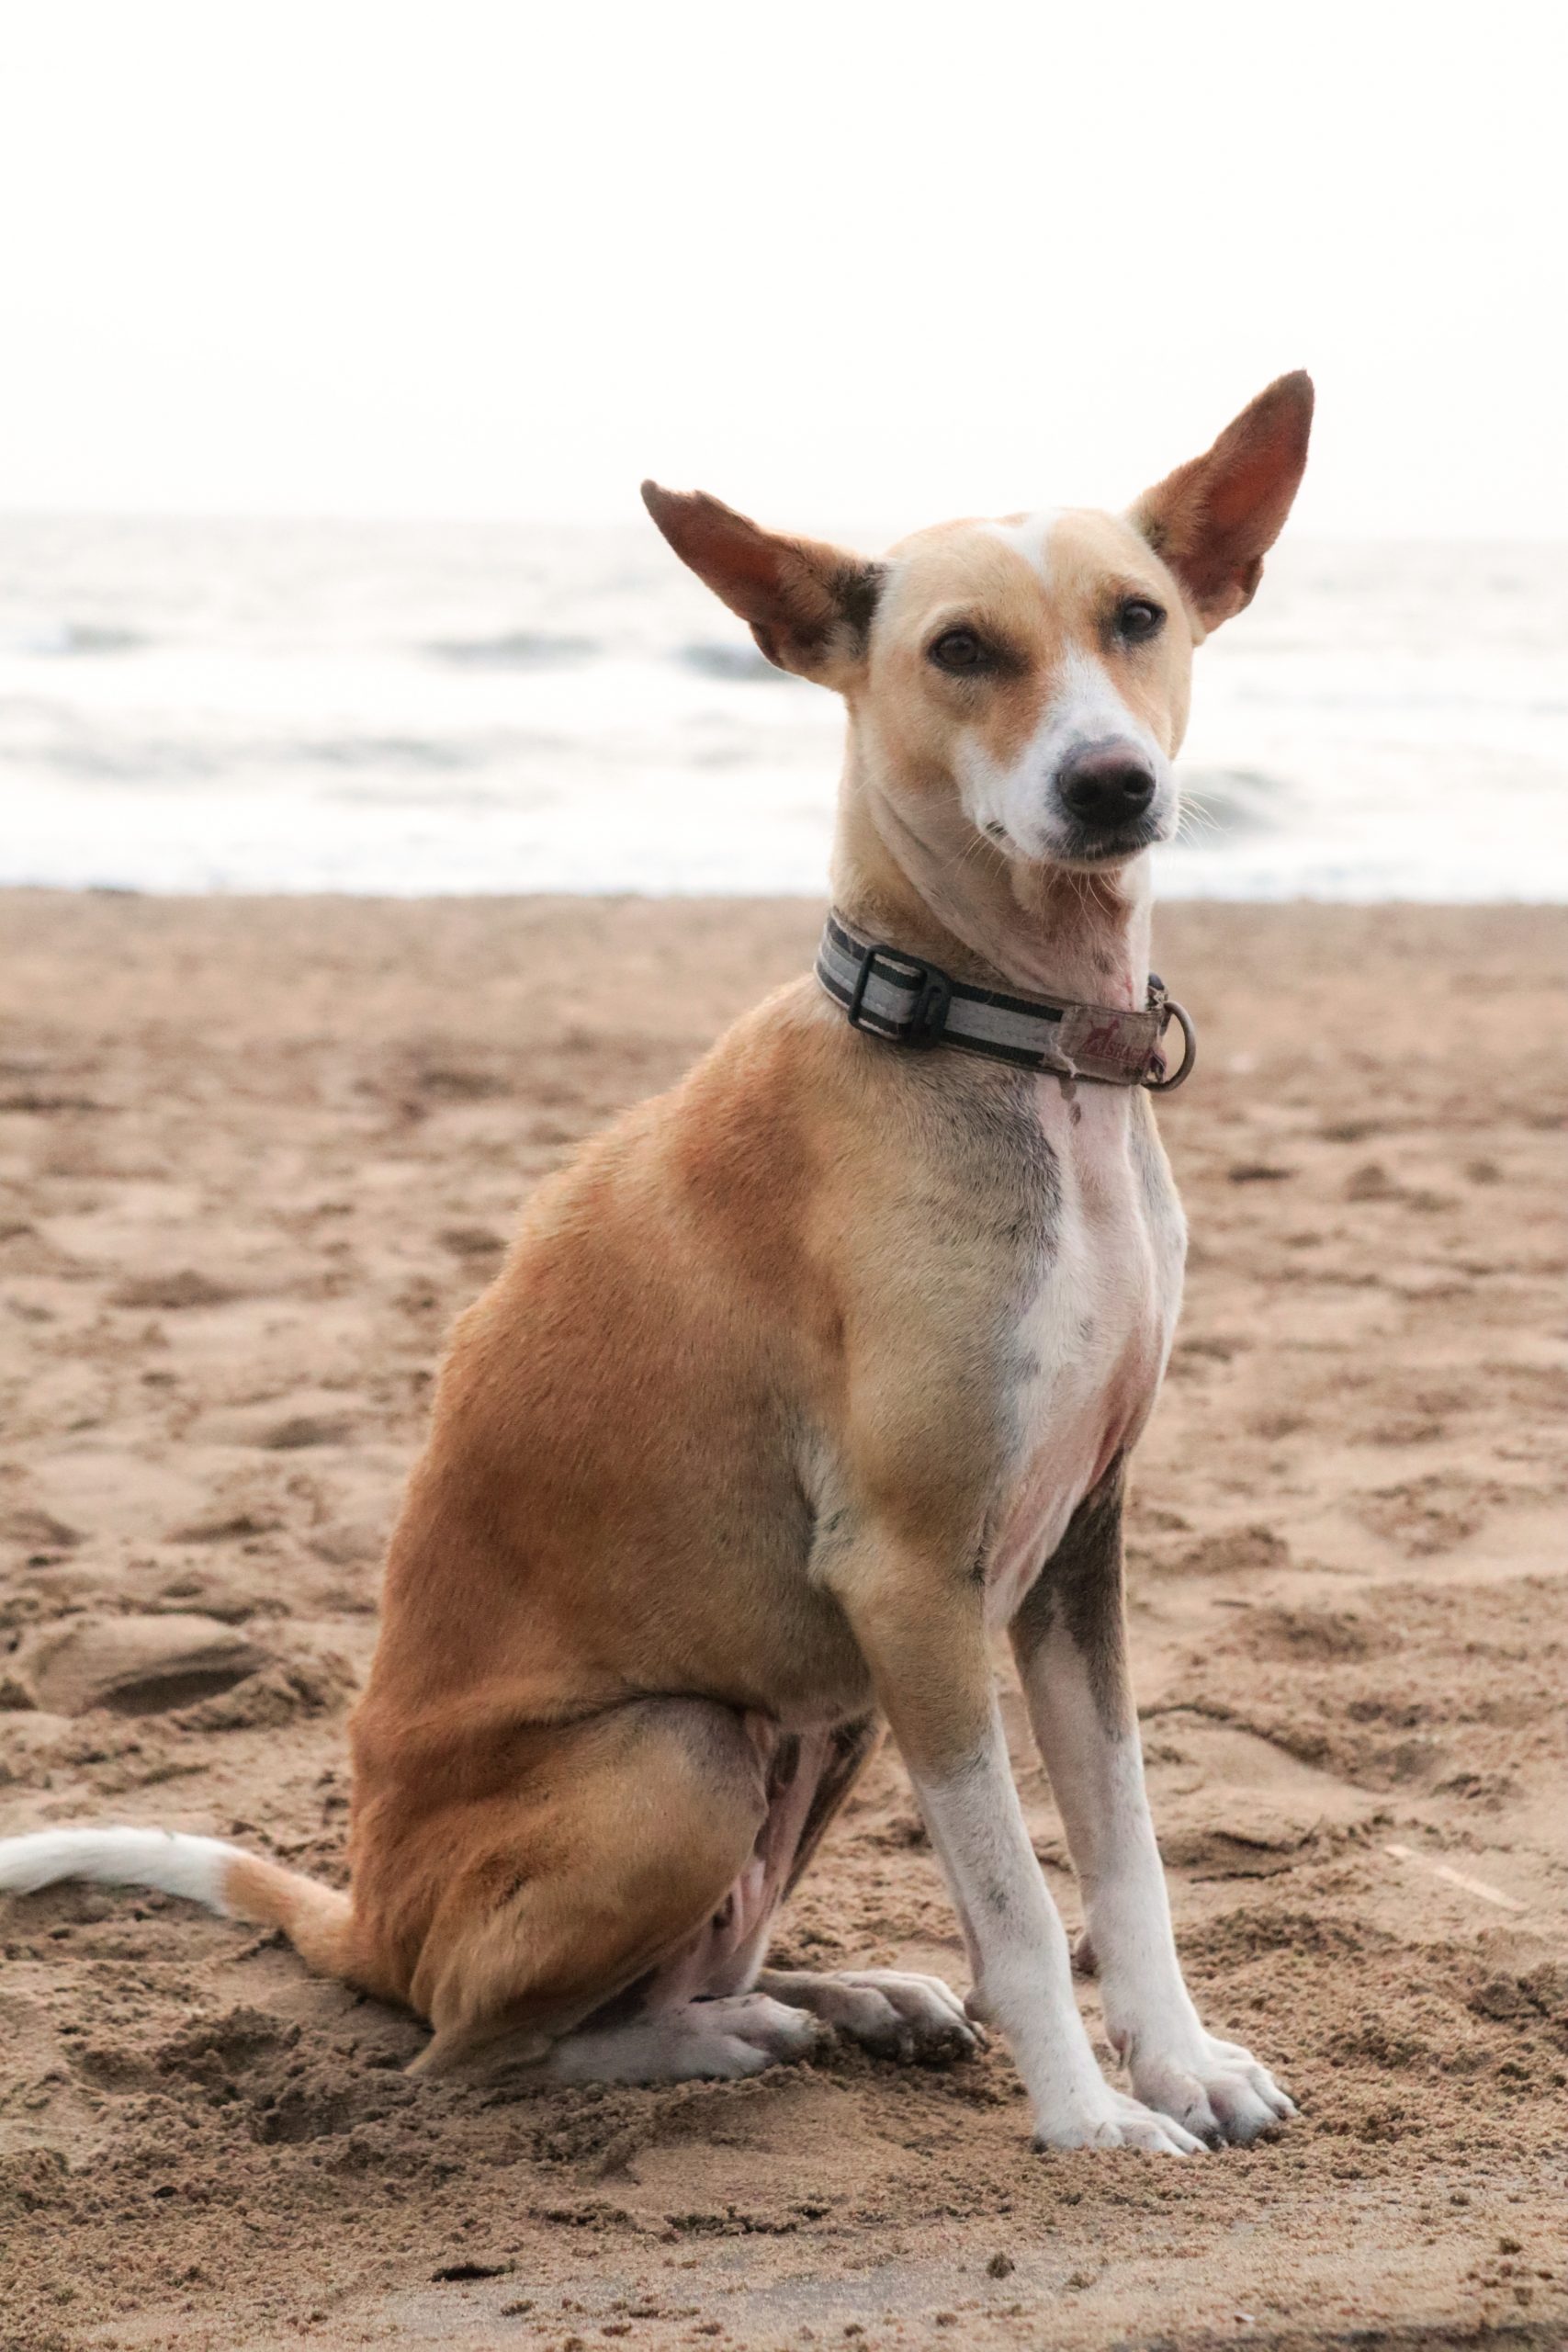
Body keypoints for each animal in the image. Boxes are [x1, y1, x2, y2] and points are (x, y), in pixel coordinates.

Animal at [0, 376, 1316, 2154]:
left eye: (1137, 619)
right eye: (960, 649)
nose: (1109, 784)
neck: (1015, 1042)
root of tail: (370, 1921)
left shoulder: (1078, 1542)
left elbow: (1122, 1846)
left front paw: (1180, 2063)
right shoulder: (910, 1577)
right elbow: (1018, 1902)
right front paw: (1087, 2120)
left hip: (818, 1728)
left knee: (668, 1968)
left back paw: (840, 1995)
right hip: (682, 1757)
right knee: (476, 2047)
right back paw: (720, 2039)